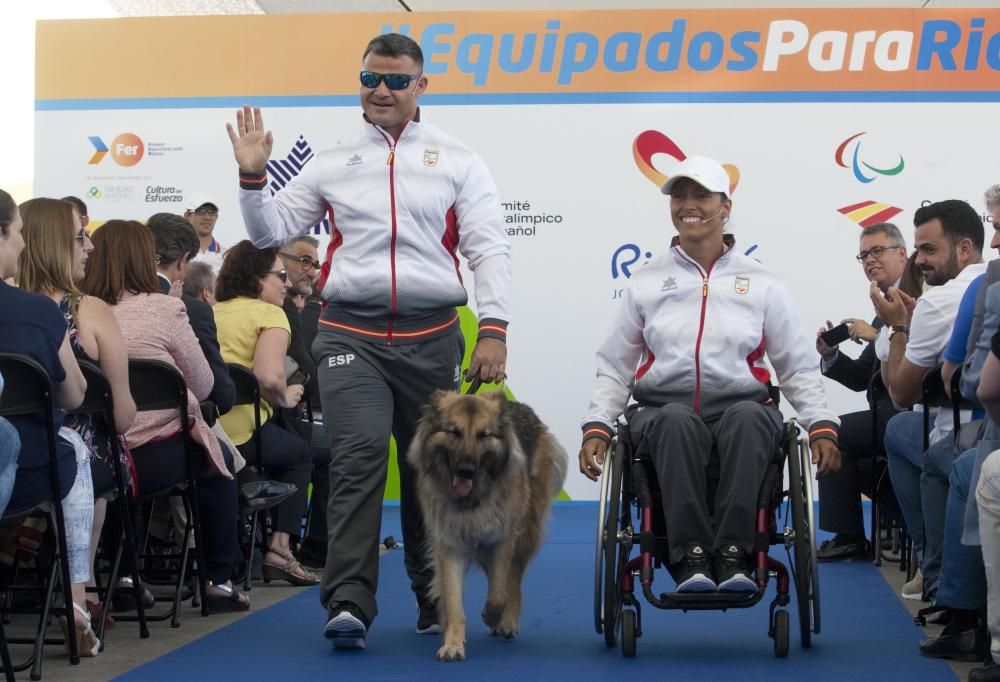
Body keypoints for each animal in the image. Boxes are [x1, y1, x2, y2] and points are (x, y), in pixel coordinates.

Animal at [404, 388, 564, 660]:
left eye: (483, 435)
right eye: (454, 432)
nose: (466, 470)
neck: (472, 498)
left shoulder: (502, 540)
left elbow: (499, 594)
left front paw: (492, 617)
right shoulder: (450, 546)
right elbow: (454, 601)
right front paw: (453, 643)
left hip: (524, 535)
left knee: (513, 580)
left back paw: (507, 621)